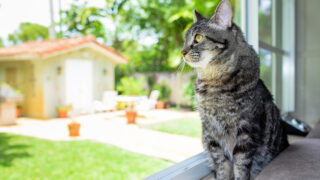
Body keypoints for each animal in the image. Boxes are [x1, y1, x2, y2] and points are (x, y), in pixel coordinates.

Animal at [181, 0, 288, 180]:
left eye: (198, 38)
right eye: (184, 40)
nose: (182, 52)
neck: (213, 82)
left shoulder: (245, 130)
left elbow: (241, 165)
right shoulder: (211, 132)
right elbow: (221, 166)